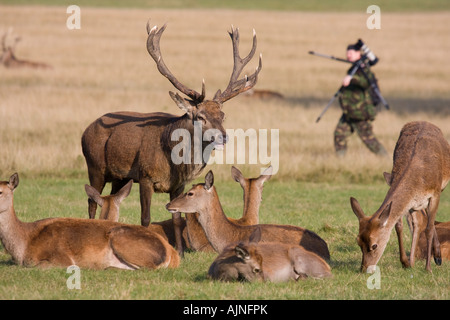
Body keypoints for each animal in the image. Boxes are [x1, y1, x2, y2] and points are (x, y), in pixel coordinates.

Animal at [82, 21, 262, 258]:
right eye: (200, 116)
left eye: (223, 115)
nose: (223, 137)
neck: (174, 163)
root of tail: (86, 130)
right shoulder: (145, 176)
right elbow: (146, 218)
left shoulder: (178, 185)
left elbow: (177, 218)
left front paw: (181, 254)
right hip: (94, 166)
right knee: (92, 201)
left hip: (119, 176)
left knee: (111, 198)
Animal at [352, 120, 450, 272]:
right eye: (358, 241)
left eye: (374, 245)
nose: (364, 269)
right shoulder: (409, 201)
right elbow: (399, 226)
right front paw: (405, 262)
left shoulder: (435, 193)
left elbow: (429, 228)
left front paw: (428, 268)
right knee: (417, 222)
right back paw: (414, 261)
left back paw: (437, 257)